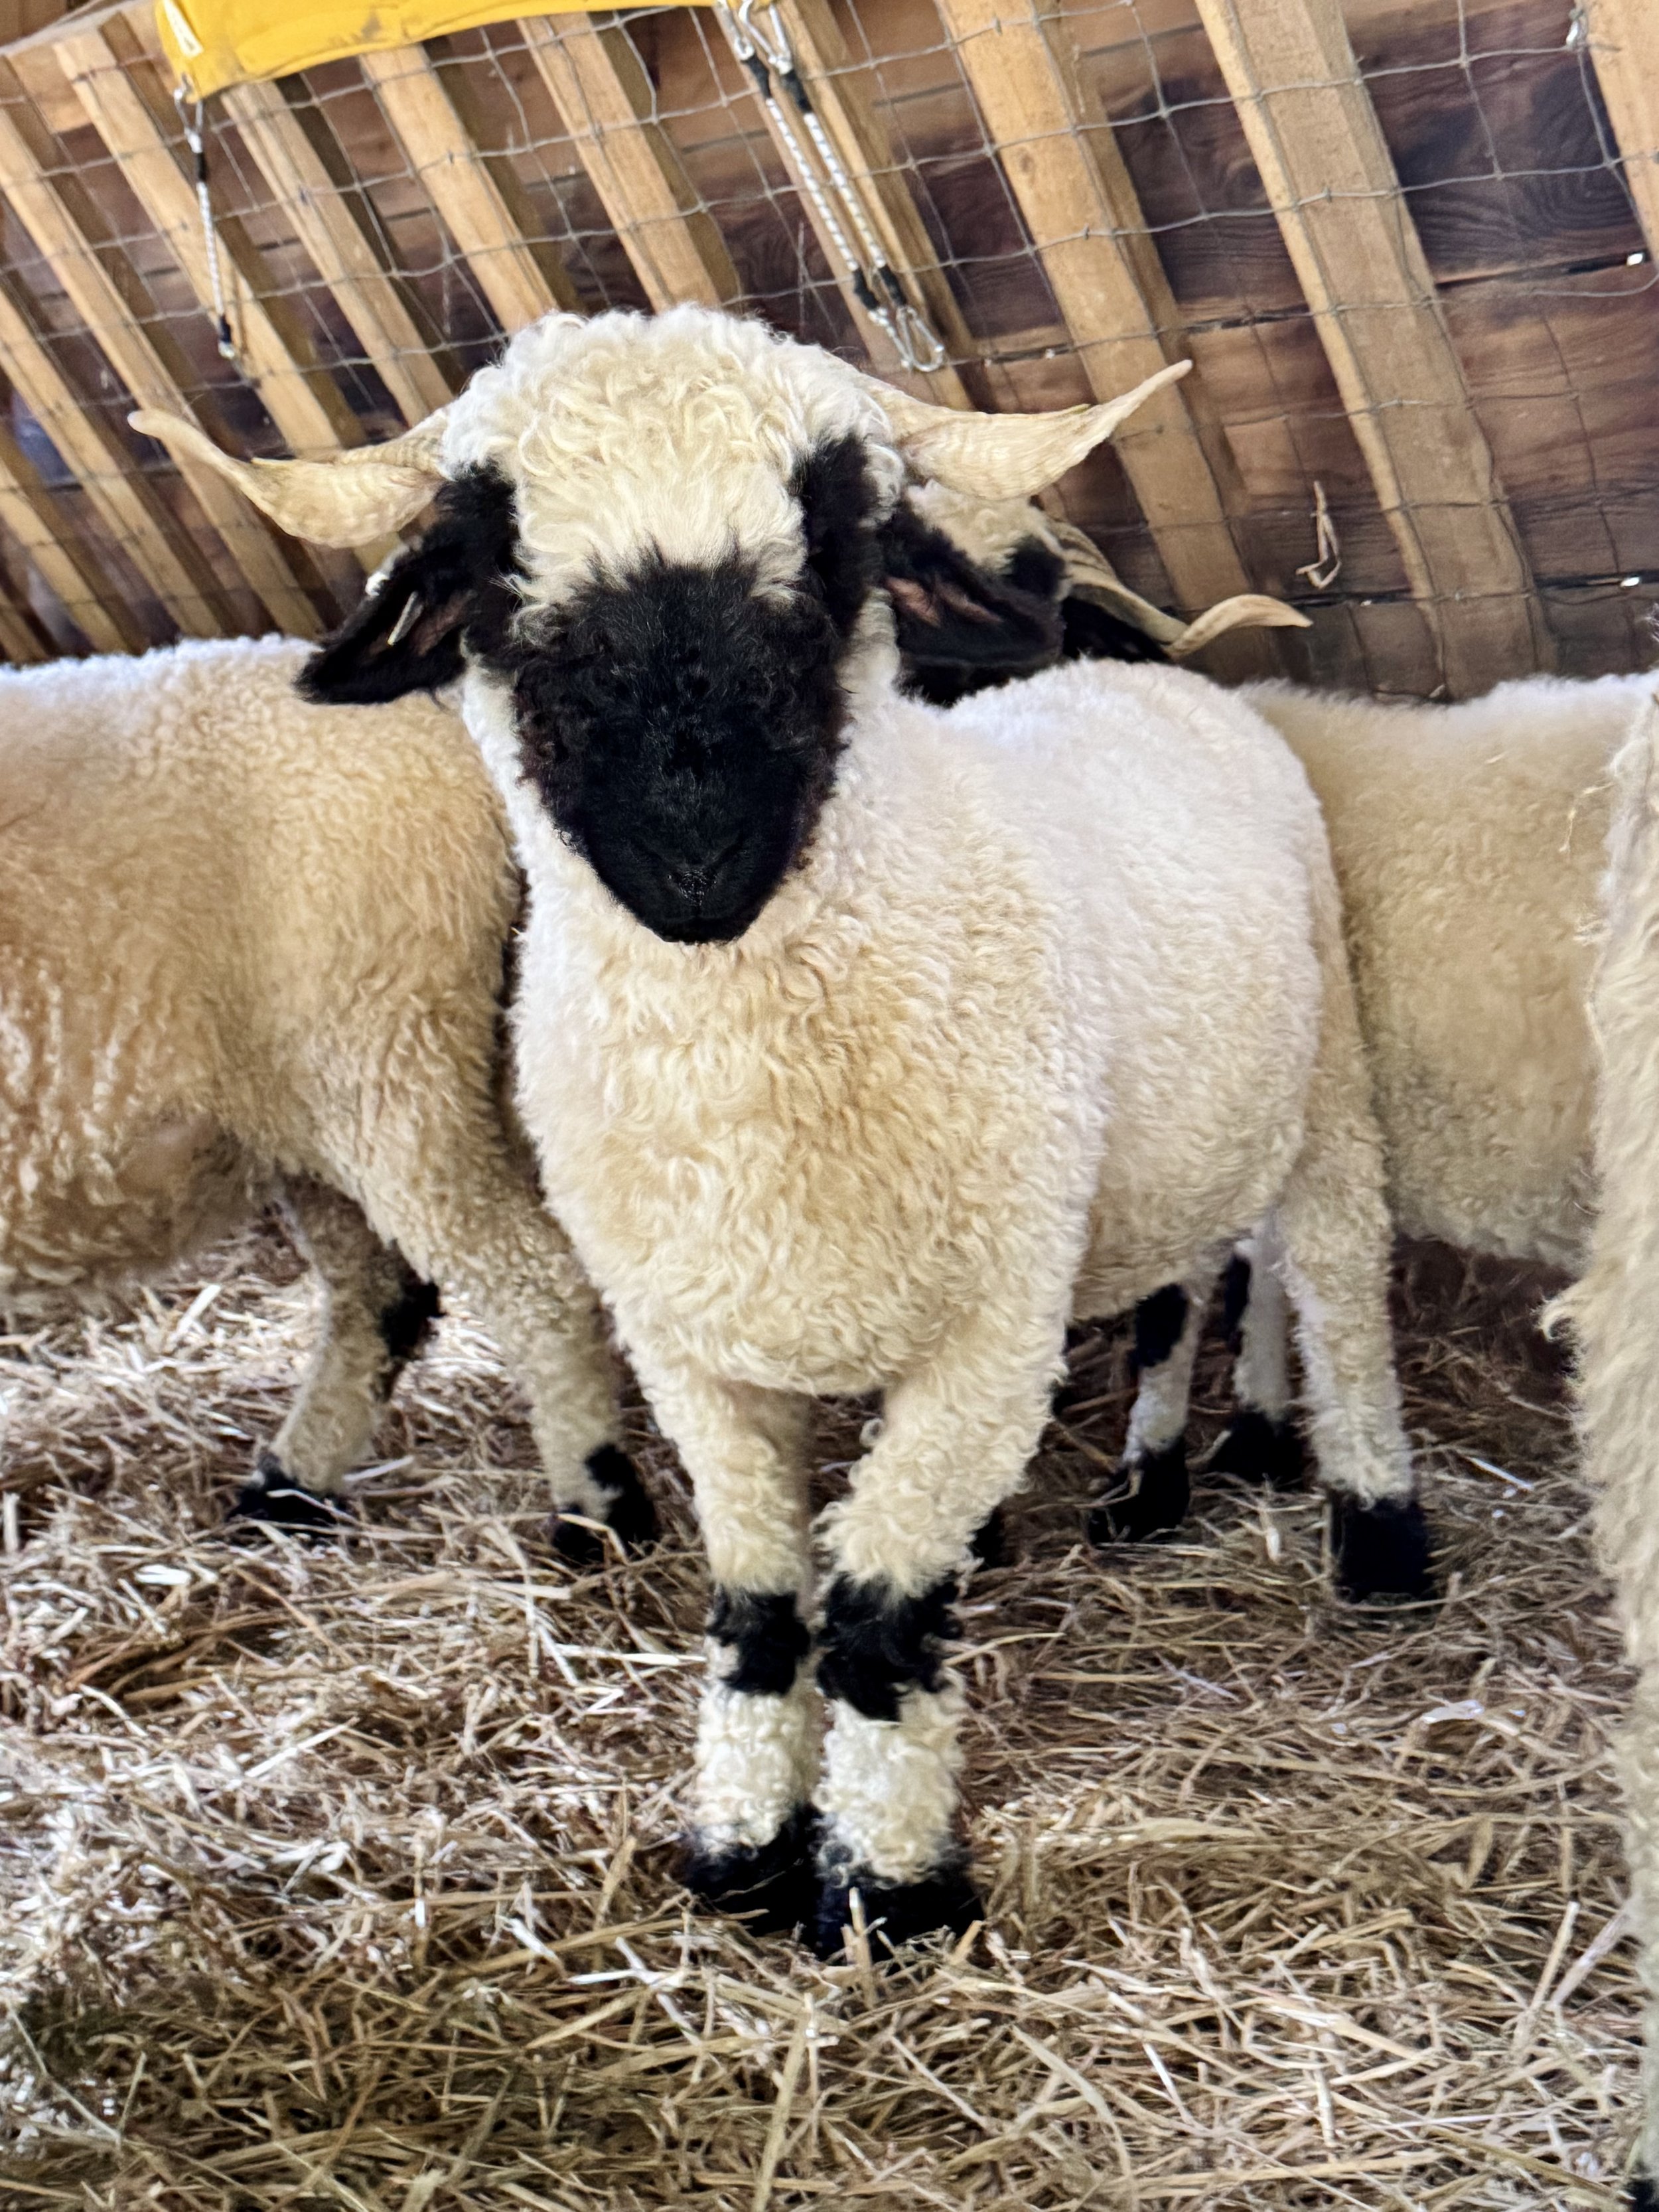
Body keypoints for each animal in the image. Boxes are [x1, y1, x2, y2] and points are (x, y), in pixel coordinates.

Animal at [0, 635, 645, 1557]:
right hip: (325, 1101)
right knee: (381, 1297)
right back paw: (287, 1489)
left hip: (385, 1053)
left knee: (530, 1280)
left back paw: (597, 1511)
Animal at [144, 303, 1422, 1957]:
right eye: (488, 562)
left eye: (836, 538)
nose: (695, 845)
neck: (748, 1098)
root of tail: (1149, 686)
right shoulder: (696, 1345)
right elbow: (759, 1610)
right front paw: (743, 1842)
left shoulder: (986, 1339)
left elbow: (875, 1619)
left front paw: (880, 1885)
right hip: (1160, 1145)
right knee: (1187, 1283)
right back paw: (1155, 1480)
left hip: (1320, 1092)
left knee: (1329, 1282)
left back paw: (1372, 1529)